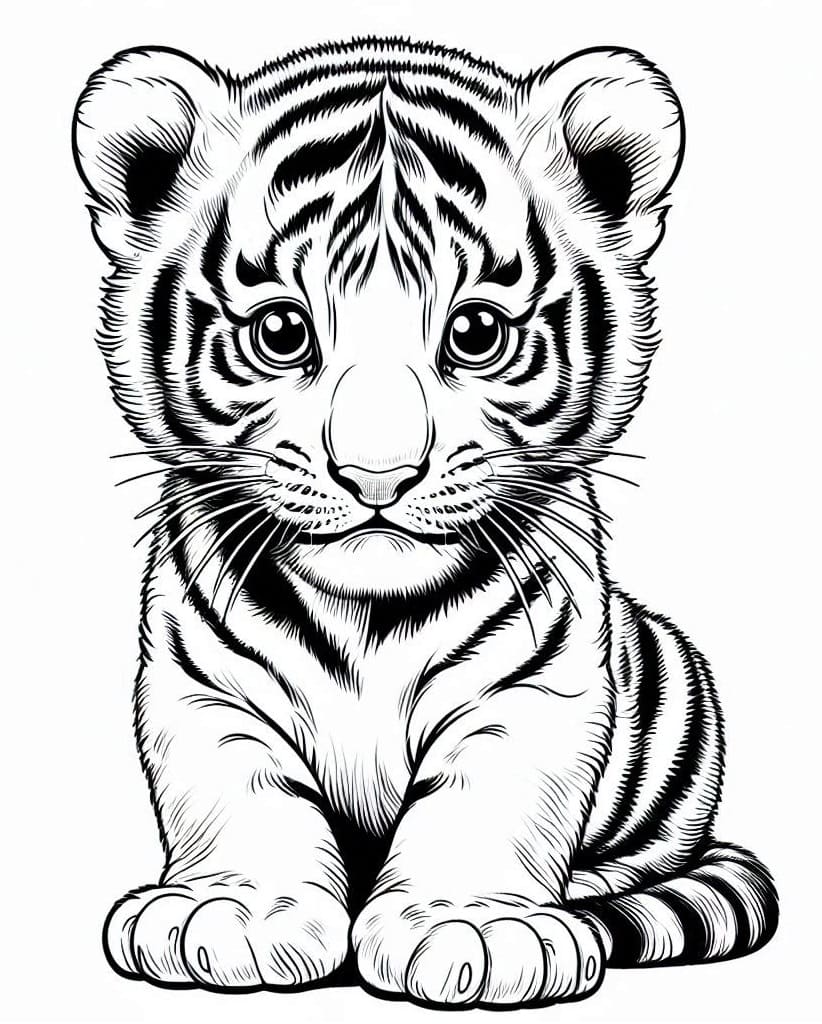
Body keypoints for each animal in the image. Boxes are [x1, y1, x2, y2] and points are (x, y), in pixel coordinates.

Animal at [72, 38, 778, 1009]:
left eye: (476, 332)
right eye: (282, 332)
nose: (379, 475)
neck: (366, 617)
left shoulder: (536, 688)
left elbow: (489, 798)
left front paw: (474, 929)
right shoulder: (201, 684)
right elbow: (238, 789)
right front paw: (234, 914)